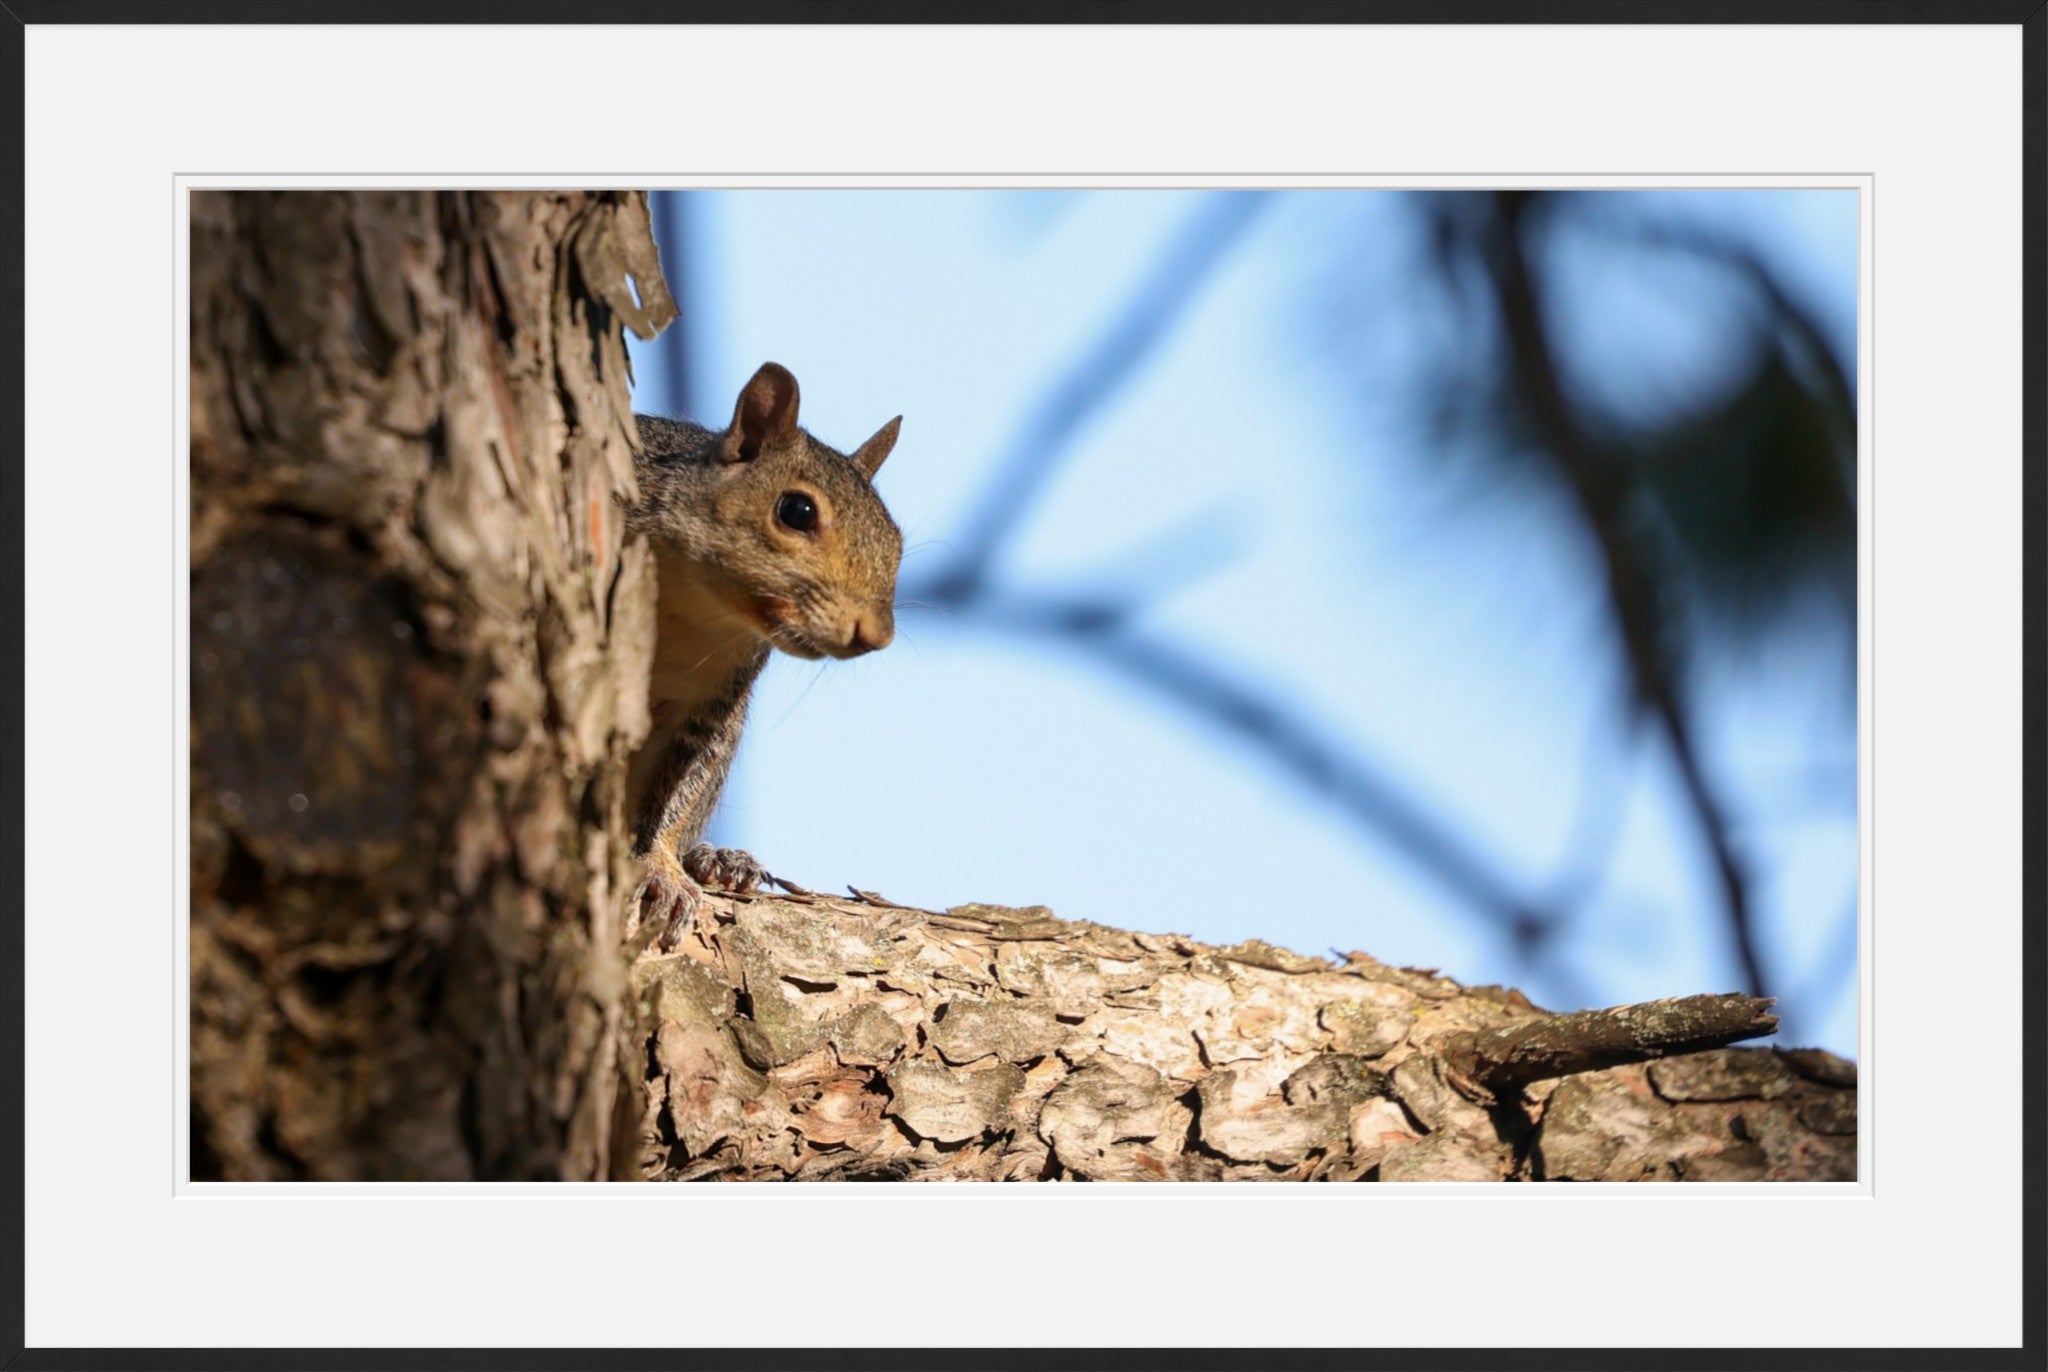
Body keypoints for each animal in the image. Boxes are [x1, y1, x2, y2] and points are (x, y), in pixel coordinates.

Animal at [622, 362, 904, 952]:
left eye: (896, 539)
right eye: (797, 510)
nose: (876, 634)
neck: (697, 598)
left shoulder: (714, 698)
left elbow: (679, 789)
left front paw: (661, 867)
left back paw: (718, 860)